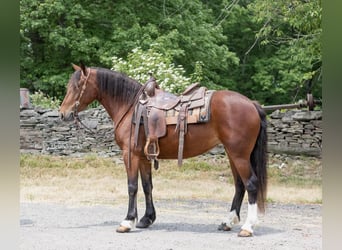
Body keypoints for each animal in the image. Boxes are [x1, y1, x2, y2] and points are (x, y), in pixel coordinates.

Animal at [58, 63, 268, 236]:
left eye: (77, 86)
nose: (62, 114)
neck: (130, 107)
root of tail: (252, 104)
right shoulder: (144, 156)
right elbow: (147, 186)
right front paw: (146, 219)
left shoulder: (130, 155)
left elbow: (132, 187)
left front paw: (127, 221)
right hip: (233, 154)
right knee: (239, 186)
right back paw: (227, 222)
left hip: (239, 155)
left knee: (251, 183)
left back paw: (248, 227)